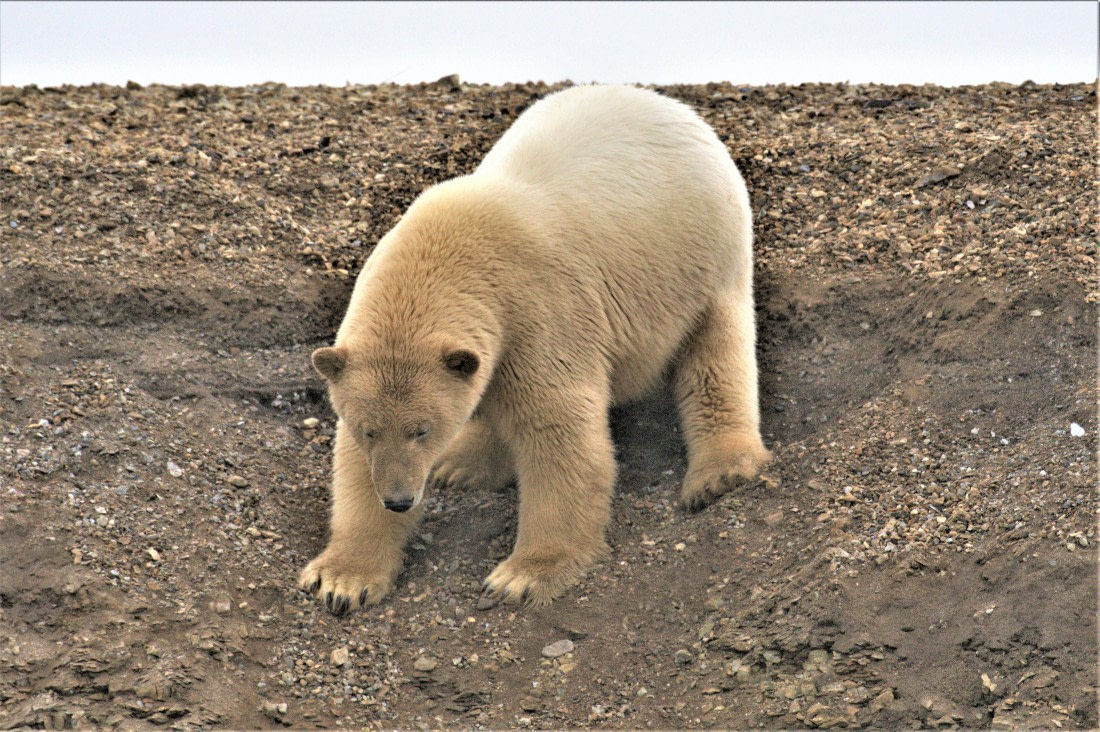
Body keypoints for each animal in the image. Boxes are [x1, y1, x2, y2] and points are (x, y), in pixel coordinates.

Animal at [298, 84, 771, 613]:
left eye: (422, 429)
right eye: (369, 429)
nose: (399, 499)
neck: (450, 253)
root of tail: (669, 106)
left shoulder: (540, 311)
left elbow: (559, 432)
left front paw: (523, 575)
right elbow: (356, 467)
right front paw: (343, 578)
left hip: (705, 259)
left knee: (717, 356)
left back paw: (718, 474)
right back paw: (461, 467)